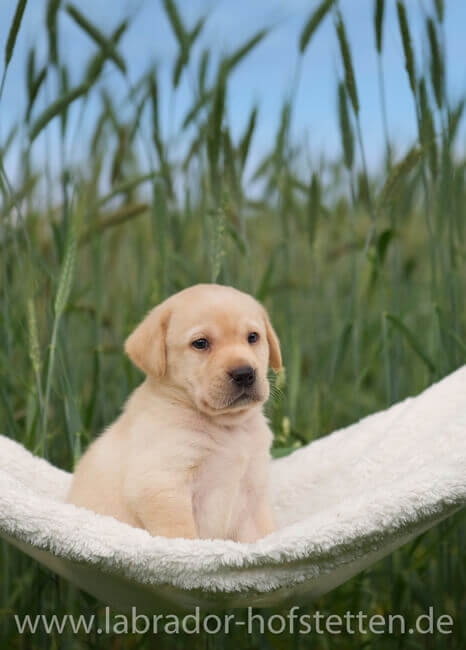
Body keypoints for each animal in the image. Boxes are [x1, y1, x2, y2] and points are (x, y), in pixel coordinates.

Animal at [67, 284, 282, 540]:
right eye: (200, 343)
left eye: (253, 337)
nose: (244, 373)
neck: (227, 427)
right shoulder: (161, 484)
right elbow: (182, 534)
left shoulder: (253, 493)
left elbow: (264, 535)